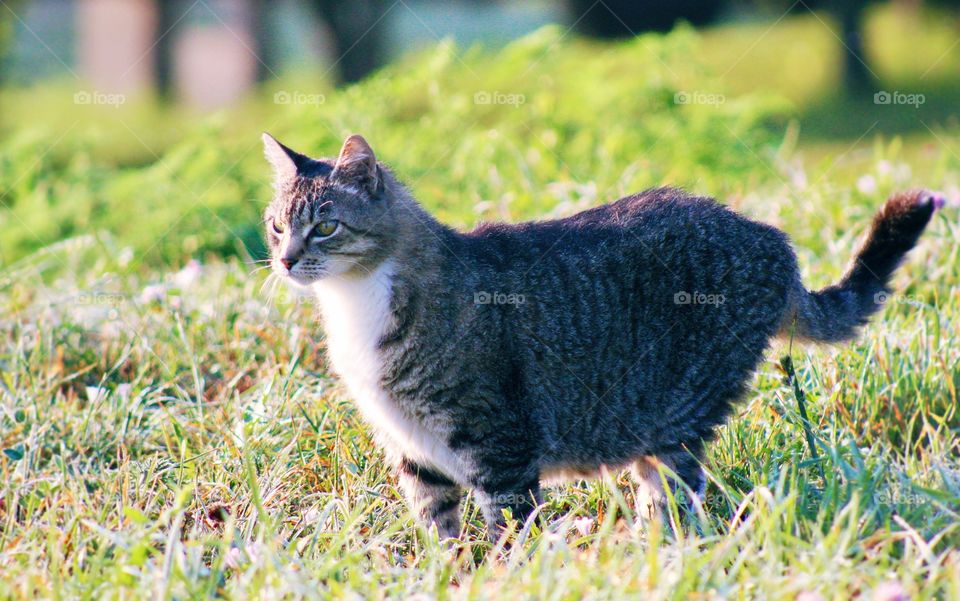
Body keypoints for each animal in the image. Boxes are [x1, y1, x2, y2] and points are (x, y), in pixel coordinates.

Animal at [258, 132, 940, 540]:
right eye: (275, 226)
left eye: (325, 227)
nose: (286, 260)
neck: (354, 303)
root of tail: (773, 241)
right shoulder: (414, 451)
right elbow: (440, 531)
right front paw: (446, 576)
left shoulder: (498, 442)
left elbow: (509, 531)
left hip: (677, 416)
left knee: (677, 499)